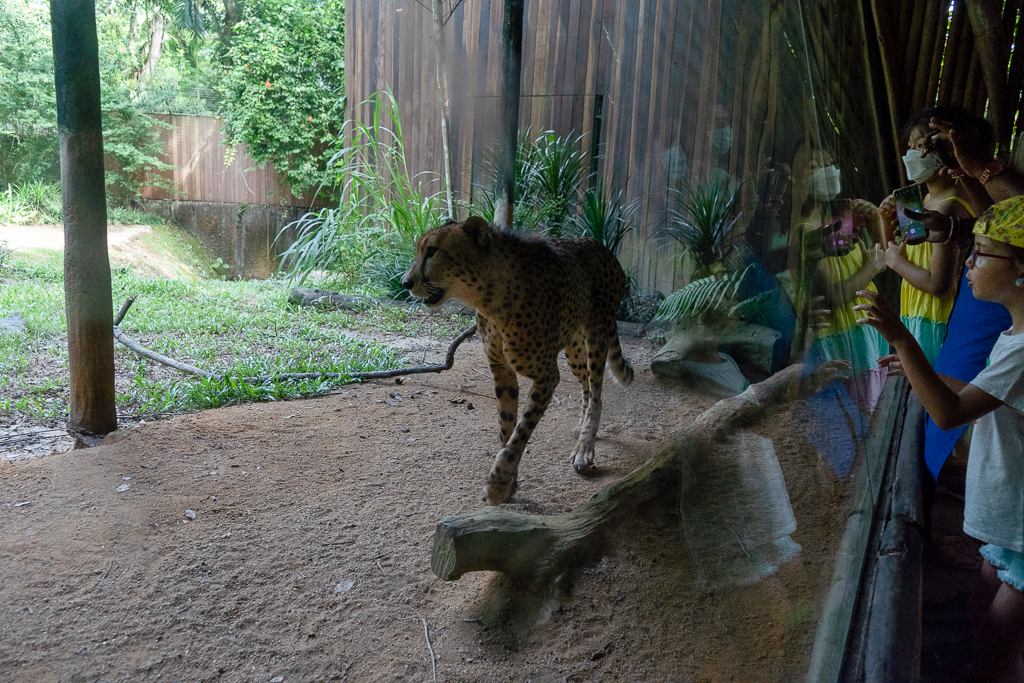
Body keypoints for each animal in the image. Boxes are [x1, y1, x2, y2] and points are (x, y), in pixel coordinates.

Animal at [399, 216, 630, 505]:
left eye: (432, 251)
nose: (405, 282)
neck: (491, 298)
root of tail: (601, 246)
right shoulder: (501, 370)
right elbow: (506, 426)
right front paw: (510, 482)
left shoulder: (547, 376)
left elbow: (521, 431)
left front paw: (498, 483)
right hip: (574, 349)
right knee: (587, 386)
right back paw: (580, 427)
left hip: (596, 335)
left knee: (597, 392)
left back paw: (585, 448)